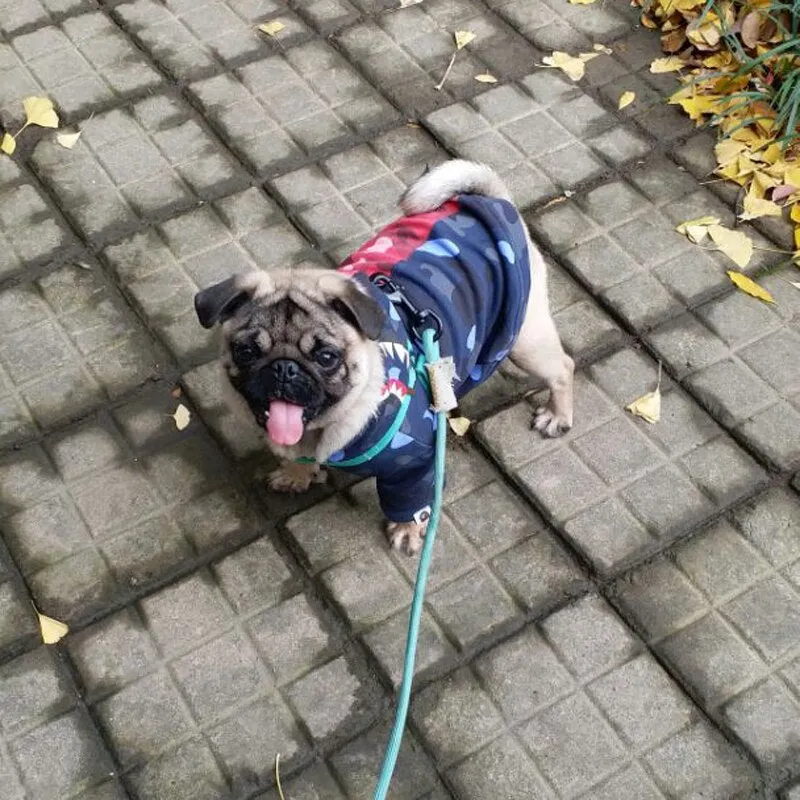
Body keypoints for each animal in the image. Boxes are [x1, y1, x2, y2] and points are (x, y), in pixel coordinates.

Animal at [195, 159, 572, 552]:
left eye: (326, 357)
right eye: (247, 351)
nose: (284, 368)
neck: (320, 431)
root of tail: (493, 199)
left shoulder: (415, 463)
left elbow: (410, 500)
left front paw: (407, 529)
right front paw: (297, 474)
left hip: (526, 341)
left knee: (563, 368)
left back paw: (557, 415)